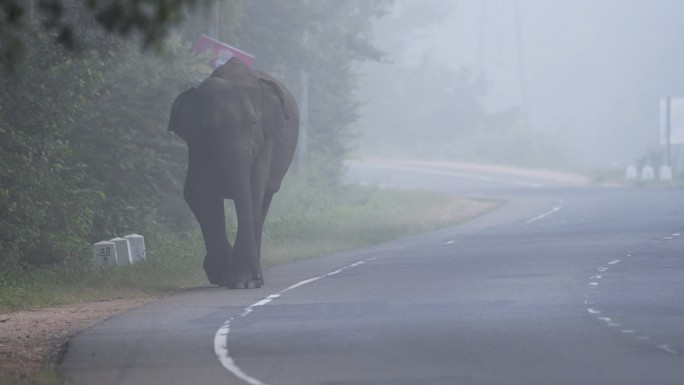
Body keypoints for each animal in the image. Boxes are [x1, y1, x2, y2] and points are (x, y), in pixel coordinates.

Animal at [167, 57, 298, 288]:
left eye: (253, 122)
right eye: (208, 127)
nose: (250, 280)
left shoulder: (266, 139)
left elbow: (254, 189)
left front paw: (246, 282)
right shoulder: (197, 145)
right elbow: (199, 193)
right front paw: (220, 275)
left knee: (264, 200)